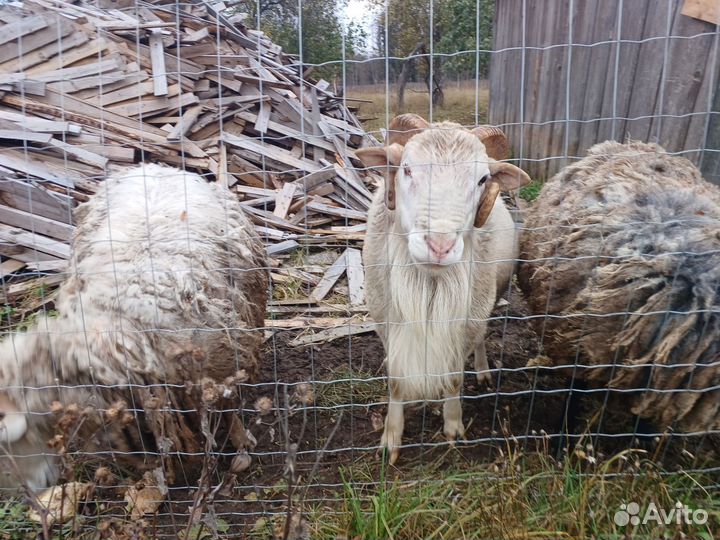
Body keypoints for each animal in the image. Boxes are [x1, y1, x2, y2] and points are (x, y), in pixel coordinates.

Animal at [0, 164, 268, 489]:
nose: (31, 488)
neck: (111, 333)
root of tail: (155, 167)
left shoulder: (221, 363)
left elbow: (229, 408)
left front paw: (241, 446)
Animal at [356, 114, 530, 464]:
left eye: (482, 179)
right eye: (406, 168)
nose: (439, 246)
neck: (428, 282)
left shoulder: (464, 324)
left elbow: (453, 377)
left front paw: (453, 427)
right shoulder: (386, 321)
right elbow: (396, 380)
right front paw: (391, 438)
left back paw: (483, 371)